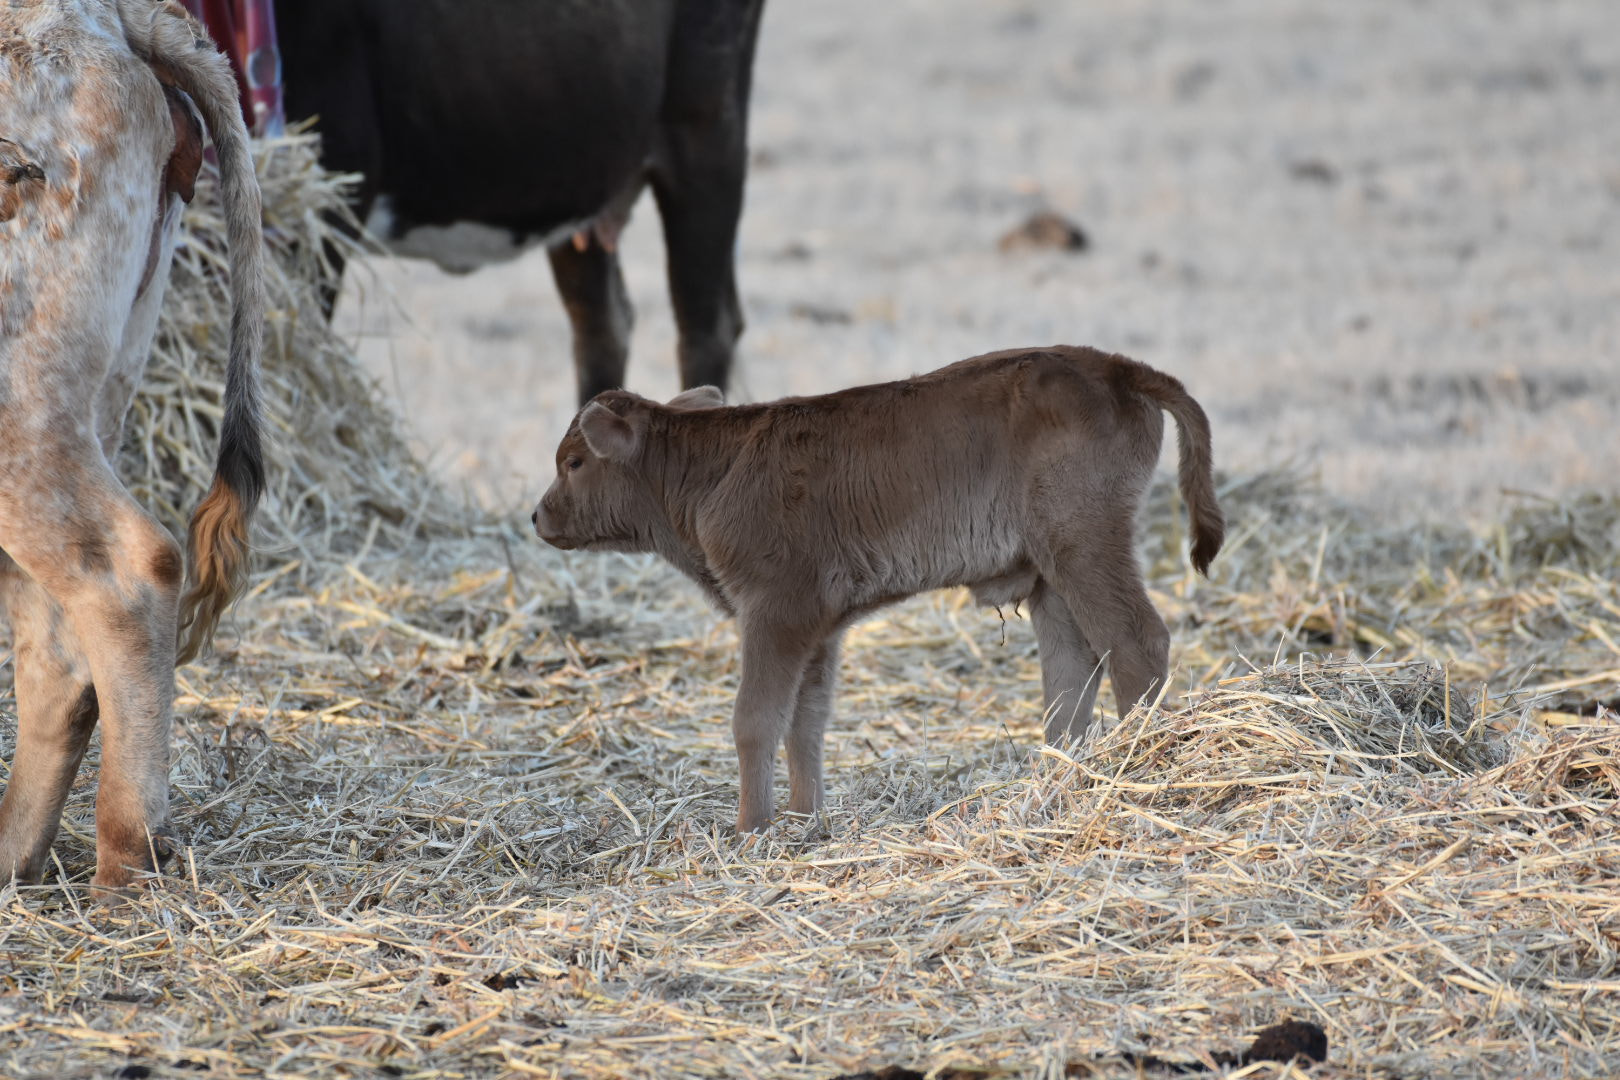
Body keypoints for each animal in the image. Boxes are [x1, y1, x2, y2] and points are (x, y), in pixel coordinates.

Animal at [0, 2, 264, 893]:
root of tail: (112, 20)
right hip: (89, 400)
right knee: (55, 641)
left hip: (23, 405)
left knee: (128, 572)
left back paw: (126, 858)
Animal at [537, 346, 1218, 829]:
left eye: (574, 461)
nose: (539, 516)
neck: (713, 470)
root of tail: (1113, 365)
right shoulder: (817, 627)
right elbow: (805, 720)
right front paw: (805, 818)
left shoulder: (775, 610)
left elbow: (755, 717)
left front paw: (749, 829)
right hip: (1053, 573)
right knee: (1071, 673)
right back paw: (1060, 780)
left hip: (1085, 544)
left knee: (1135, 642)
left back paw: (1138, 762)